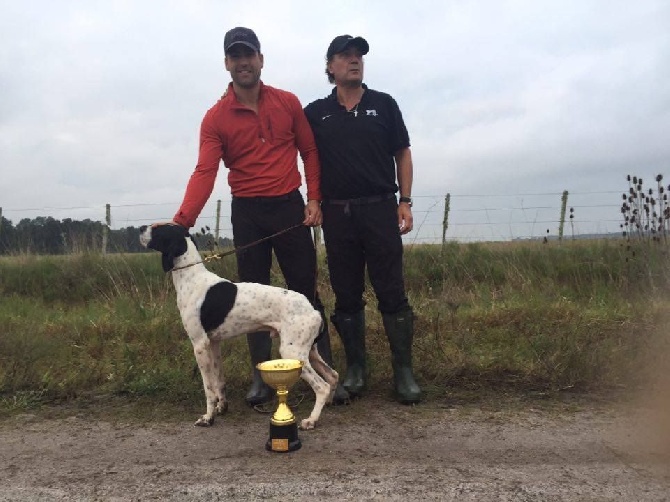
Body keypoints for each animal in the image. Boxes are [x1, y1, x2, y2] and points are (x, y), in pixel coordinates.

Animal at [139, 226, 338, 430]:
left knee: (322, 386)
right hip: (308, 351)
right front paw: (221, 408)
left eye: (158, 229)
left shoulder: (200, 345)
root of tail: (314, 310)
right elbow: (219, 381)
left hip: (292, 352)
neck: (192, 278)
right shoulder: (214, 343)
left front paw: (208, 417)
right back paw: (328, 404)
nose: (141, 228)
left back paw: (311, 420)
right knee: (332, 376)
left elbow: (209, 388)